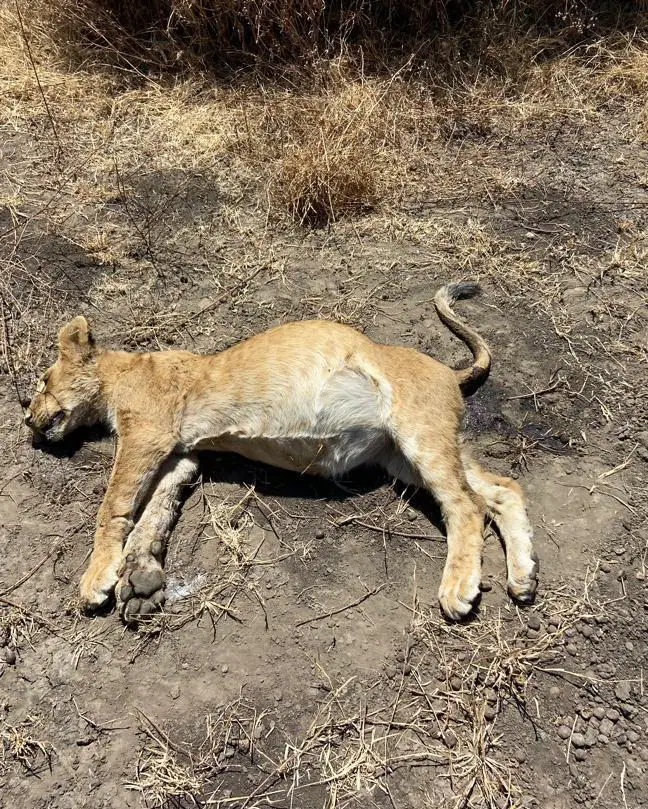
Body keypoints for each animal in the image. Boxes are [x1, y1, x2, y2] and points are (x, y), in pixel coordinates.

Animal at [23, 281, 538, 624]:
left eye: (44, 382)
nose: (27, 419)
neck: (122, 371)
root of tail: (450, 372)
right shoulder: (181, 453)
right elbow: (153, 515)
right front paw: (140, 578)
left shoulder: (148, 435)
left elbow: (113, 507)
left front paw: (96, 579)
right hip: (406, 453)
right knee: (501, 488)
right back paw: (524, 576)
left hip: (418, 433)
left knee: (466, 505)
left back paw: (459, 588)